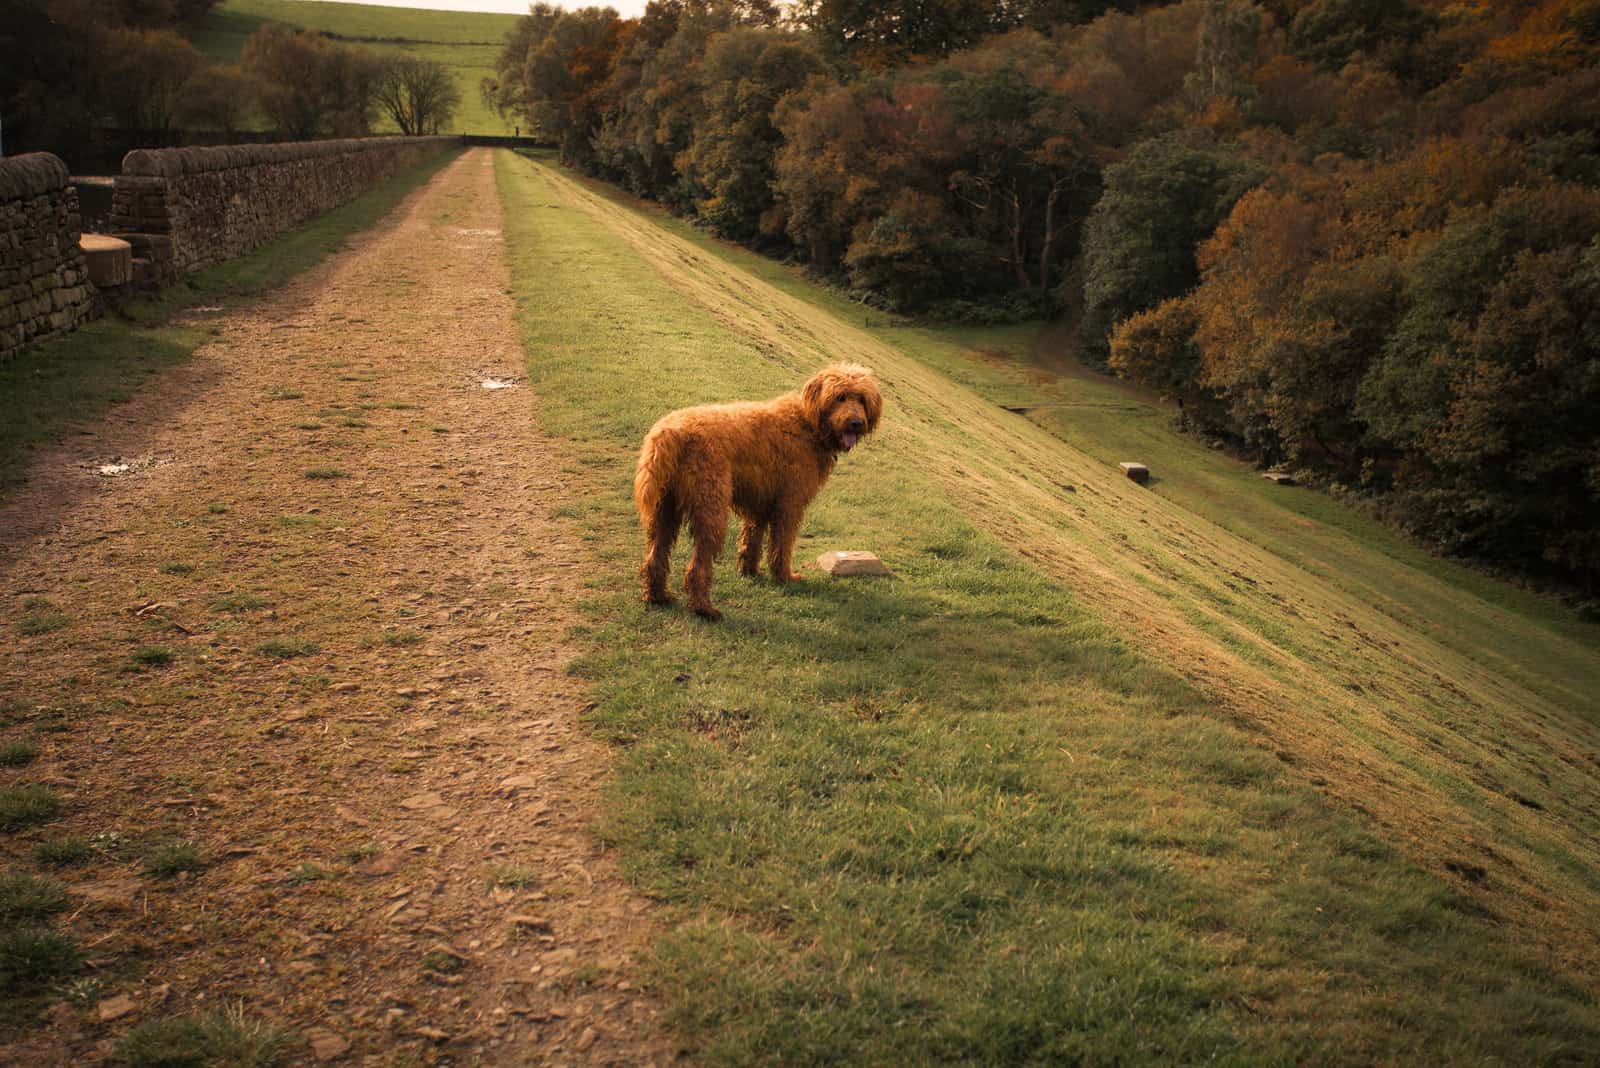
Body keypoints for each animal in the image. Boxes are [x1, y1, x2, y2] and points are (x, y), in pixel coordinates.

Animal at [636, 364, 889, 617]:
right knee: (698, 566)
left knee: (655, 557)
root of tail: (668, 433)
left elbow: (752, 540)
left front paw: (750, 571)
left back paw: (658, 596)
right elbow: (782, 544)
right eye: (840, 397)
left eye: (862, 399)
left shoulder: (760, 504)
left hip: (664, 510)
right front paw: (784, 576)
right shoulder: (789, 504)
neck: (808, 423)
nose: (856, 423)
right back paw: (704, 609)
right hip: (710, 509)